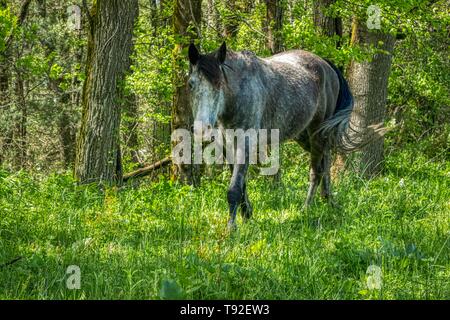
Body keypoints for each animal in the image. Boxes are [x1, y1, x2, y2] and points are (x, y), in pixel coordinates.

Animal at [187, 42, 372, 230]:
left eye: (219, 84)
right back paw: (328, 201)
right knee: (325, 163)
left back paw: (306, 208)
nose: (202, 128)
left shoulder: (246, 142)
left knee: (316, 171)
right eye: (190, 85)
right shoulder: (226, 145)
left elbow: (235, 188)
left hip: (317, 133)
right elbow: (241, 184)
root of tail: (326, 65)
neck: (238, 94)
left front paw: (232, 228)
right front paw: (247, 215)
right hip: (305, 136)